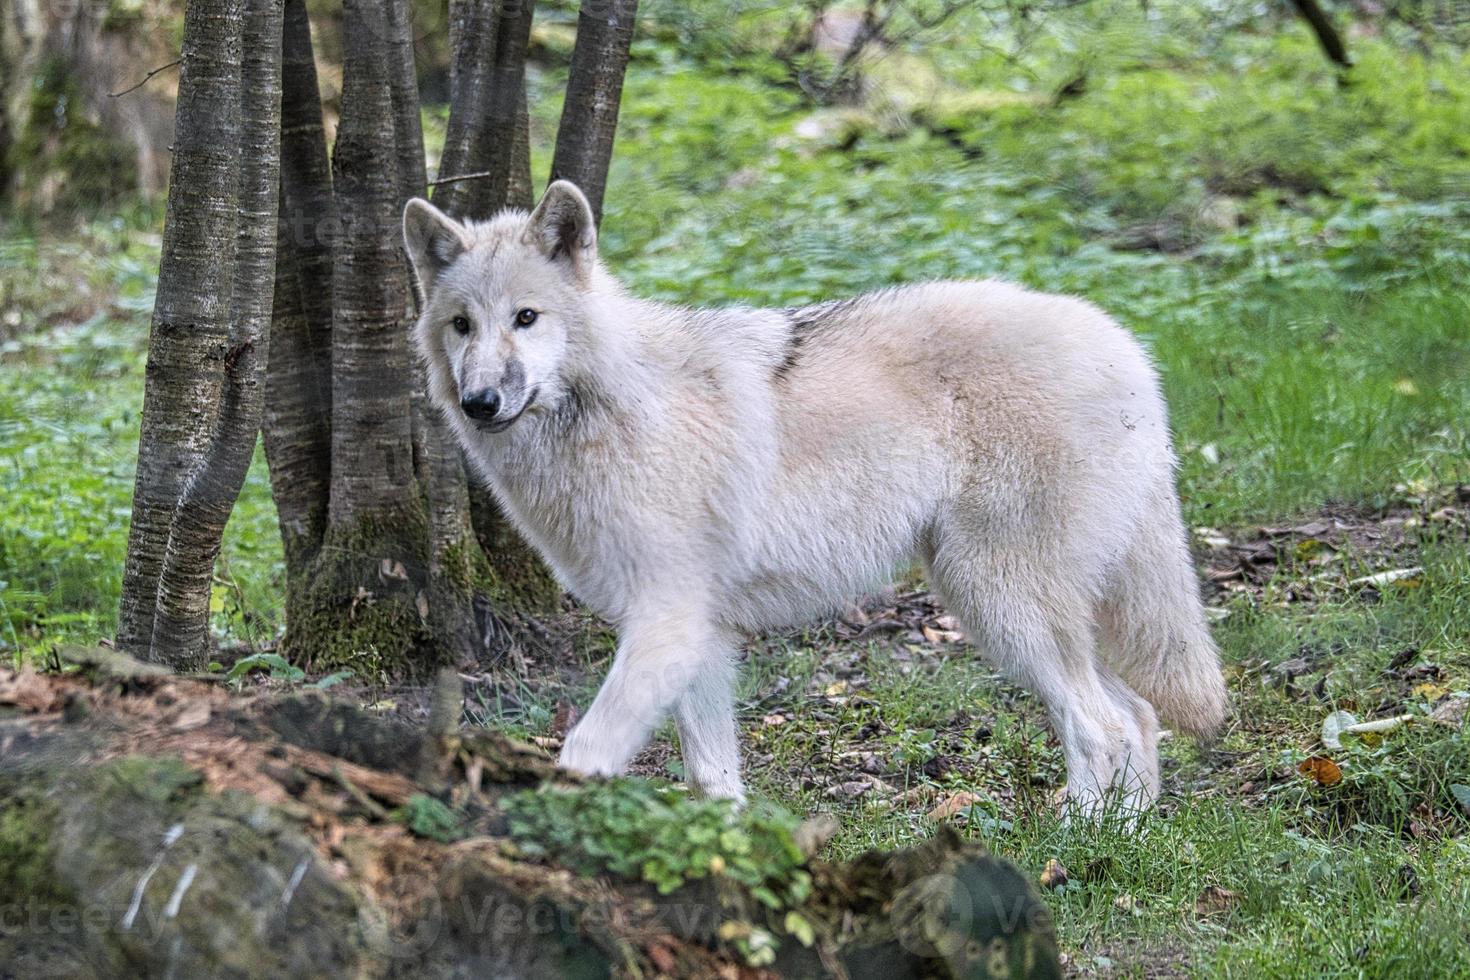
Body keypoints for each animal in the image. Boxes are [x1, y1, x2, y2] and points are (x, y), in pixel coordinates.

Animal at [402, 179, 1228, 816]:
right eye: (462, 325)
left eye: (526, 318)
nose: (479, 402)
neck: (618, 409)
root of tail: (1127, 348)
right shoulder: (702, 636)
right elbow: (712, 776)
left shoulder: (666, 621)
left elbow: (583, 750)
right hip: (1004, 607)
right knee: (1140, 715)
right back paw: (1124, 840)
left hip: (999, 601)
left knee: (1104, 724)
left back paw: (1074, 852)